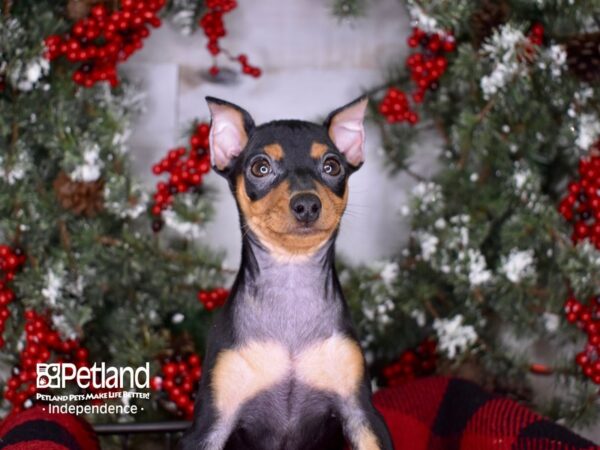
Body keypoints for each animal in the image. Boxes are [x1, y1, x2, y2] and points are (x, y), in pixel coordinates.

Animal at [179, 96, 394, 448]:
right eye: (260, 167)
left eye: (332, 166)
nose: (307, 204)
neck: (292, 276)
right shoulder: (208, 427)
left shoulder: (363, 415)